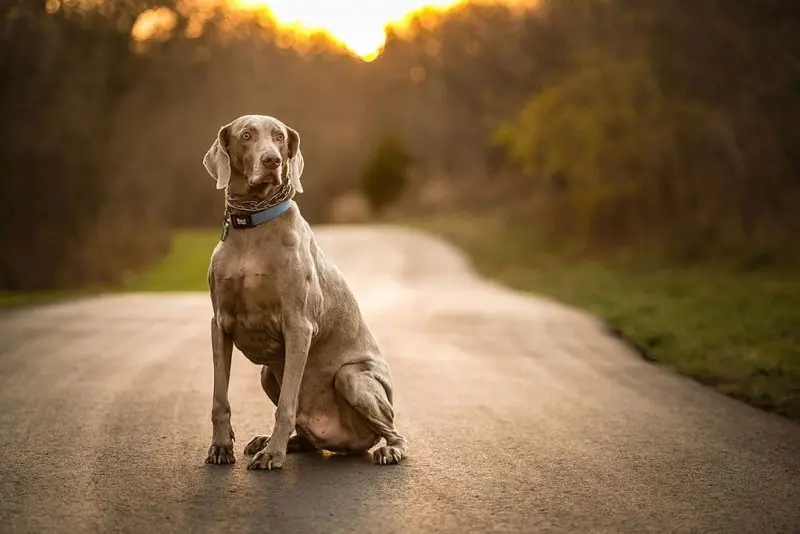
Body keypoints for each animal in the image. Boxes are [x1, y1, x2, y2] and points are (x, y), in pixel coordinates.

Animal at [199, 115, 410, 472]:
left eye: (280, 137)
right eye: (246, 135)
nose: (272, 161)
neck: (253, 224)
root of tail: (343, 442)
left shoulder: (298, 326)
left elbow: (286, 405)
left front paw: (272, 456)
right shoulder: (220, 325)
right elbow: (219, 397)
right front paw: (221, 447)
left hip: (353, 377)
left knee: (395, 432)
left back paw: (389, 451)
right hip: (267, 374)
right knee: (307, 435)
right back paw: (271, 441)